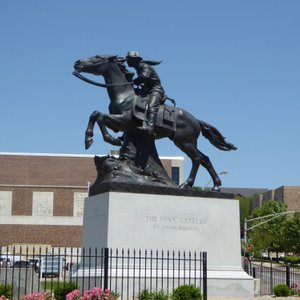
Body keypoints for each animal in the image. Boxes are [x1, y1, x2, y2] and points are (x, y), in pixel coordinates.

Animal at [73, 54, 237, 190]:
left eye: (97, 57)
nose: (77, 62)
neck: (125, 95)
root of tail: (196, 120)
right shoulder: (126, 128)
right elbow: (95, 115)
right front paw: (91, 139)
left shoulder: (124, 121)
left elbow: (100, 117)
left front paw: (105, 139)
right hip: (185, 142)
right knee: (205, 159)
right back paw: (215, 186)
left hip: (185, 142)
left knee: (197, 159)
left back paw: (187, 184)